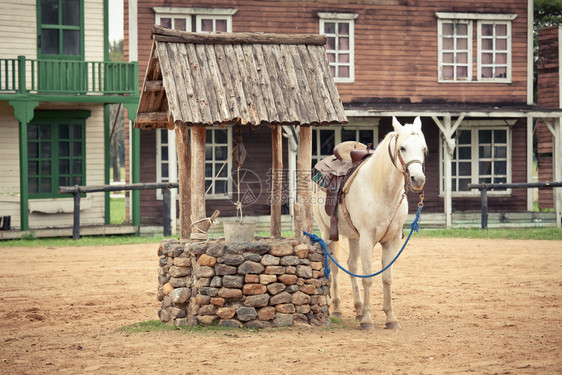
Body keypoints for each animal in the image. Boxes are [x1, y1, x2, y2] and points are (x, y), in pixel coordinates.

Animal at [310, 116, 424, 330]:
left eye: (424, 148)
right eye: (402, 148)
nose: (418, 179)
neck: (382, 191)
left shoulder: (391, 241)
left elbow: (387, 279)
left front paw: (390, 318)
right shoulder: (367, 239)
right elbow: (369, 278)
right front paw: (367, 320)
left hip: (353, 237)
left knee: (352, 266)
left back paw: (358, 307)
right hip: (326, 232)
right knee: (334, 267)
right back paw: (336, 308)